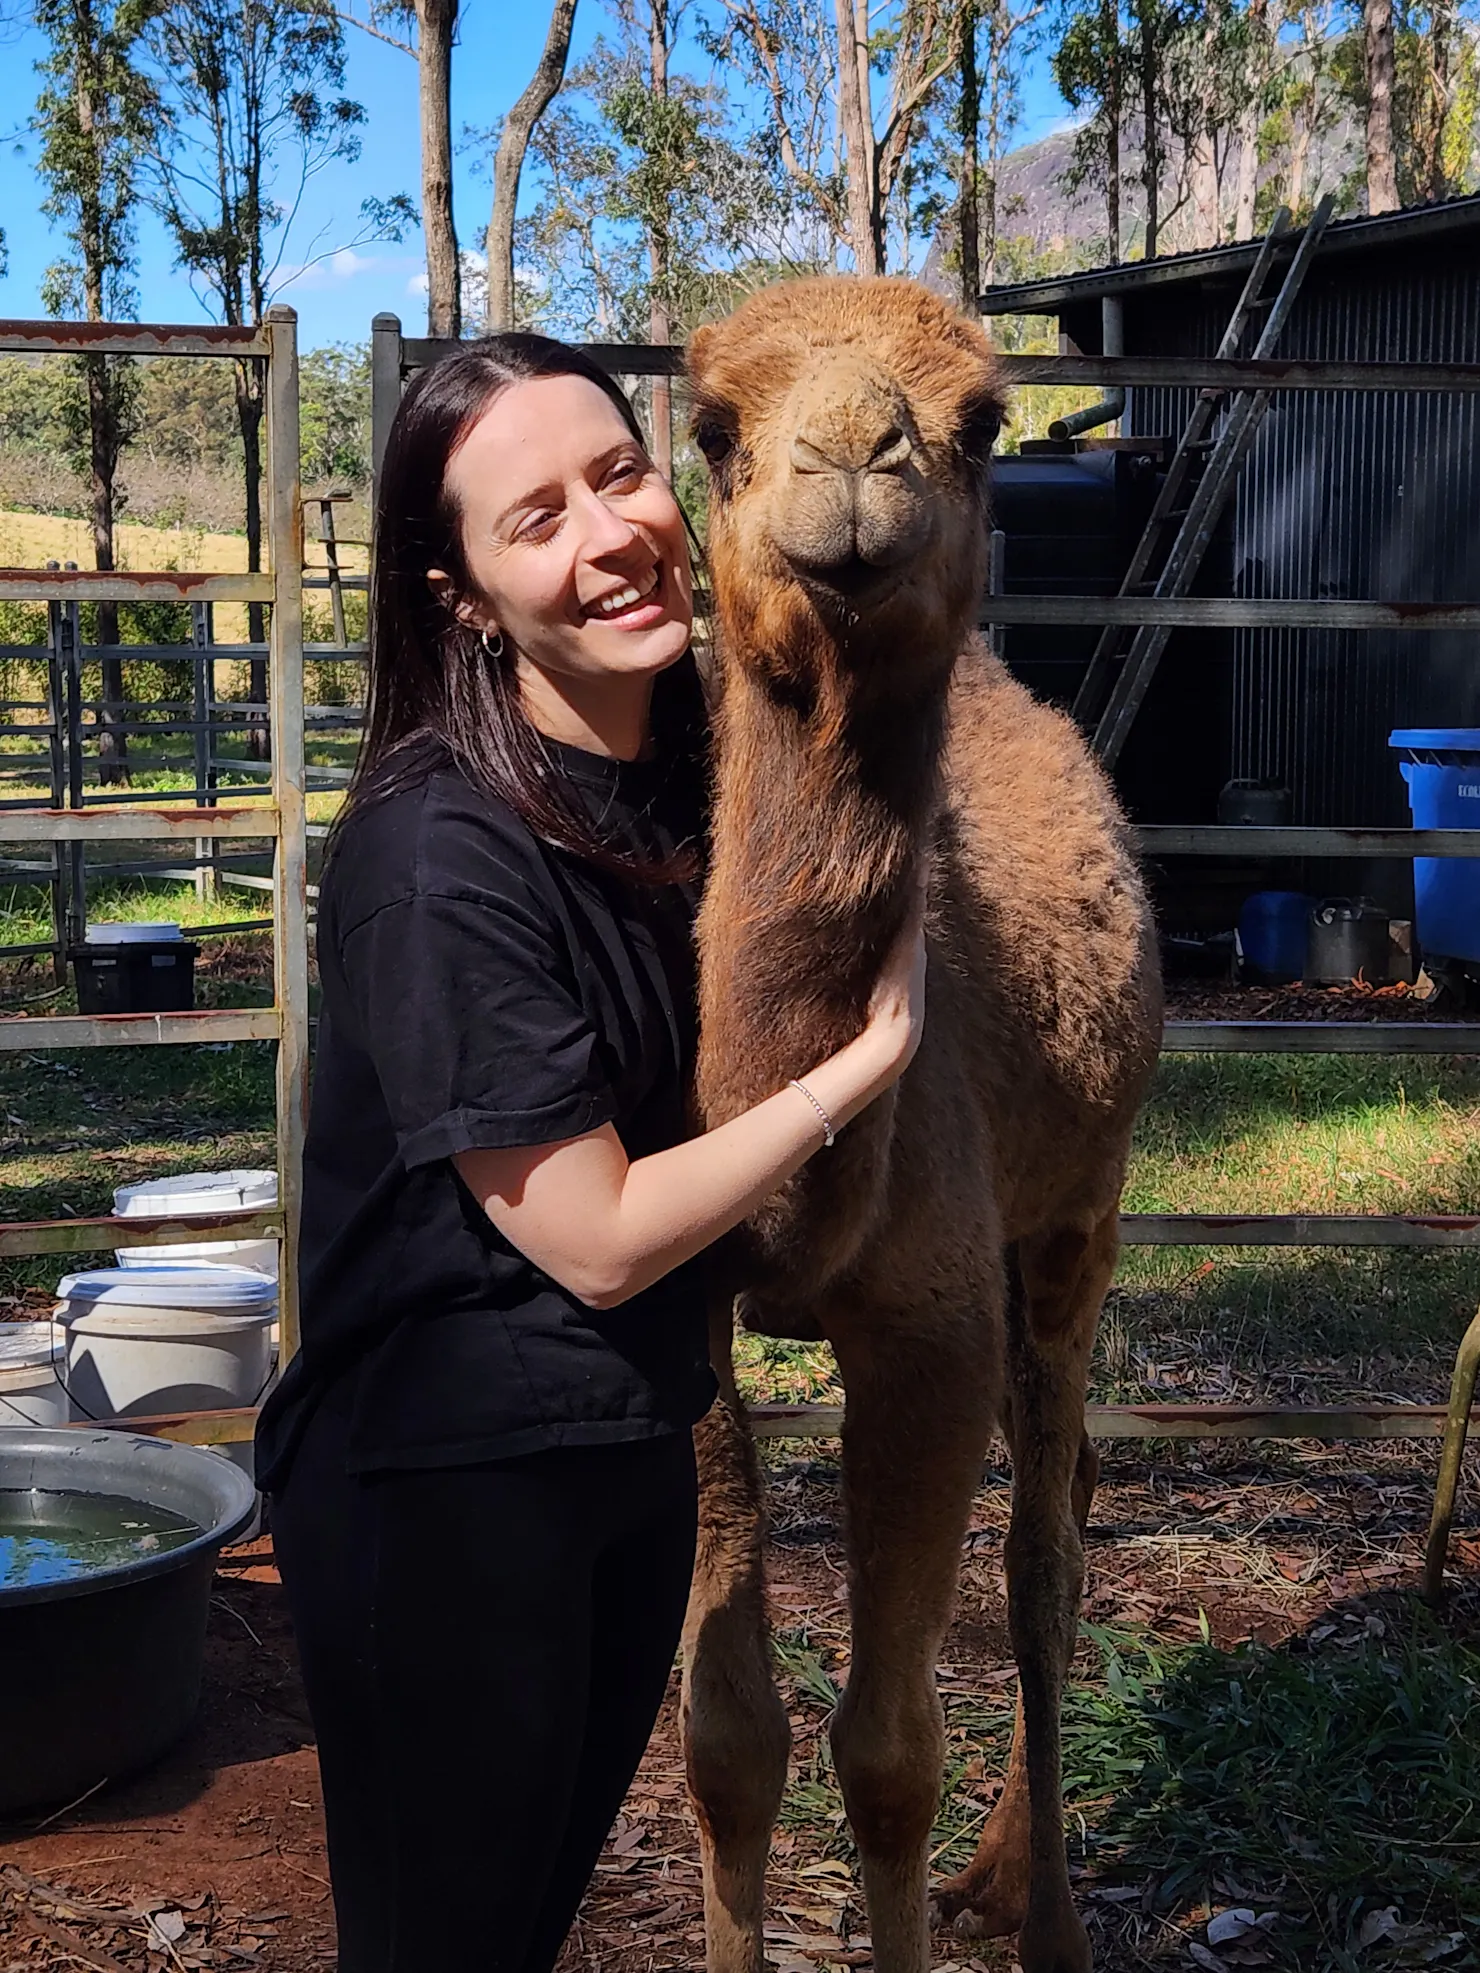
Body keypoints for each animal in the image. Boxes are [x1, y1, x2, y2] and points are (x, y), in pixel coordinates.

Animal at [677, 276, 1164, 1973]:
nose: (850, 460)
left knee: (1047, 1560)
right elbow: (729, 1735)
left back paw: (1045, 1912)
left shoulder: (930, 1326)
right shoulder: (678, 1313)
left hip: (1079, 1209)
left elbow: (887, 1753)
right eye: (712, 423)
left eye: (984, 422)